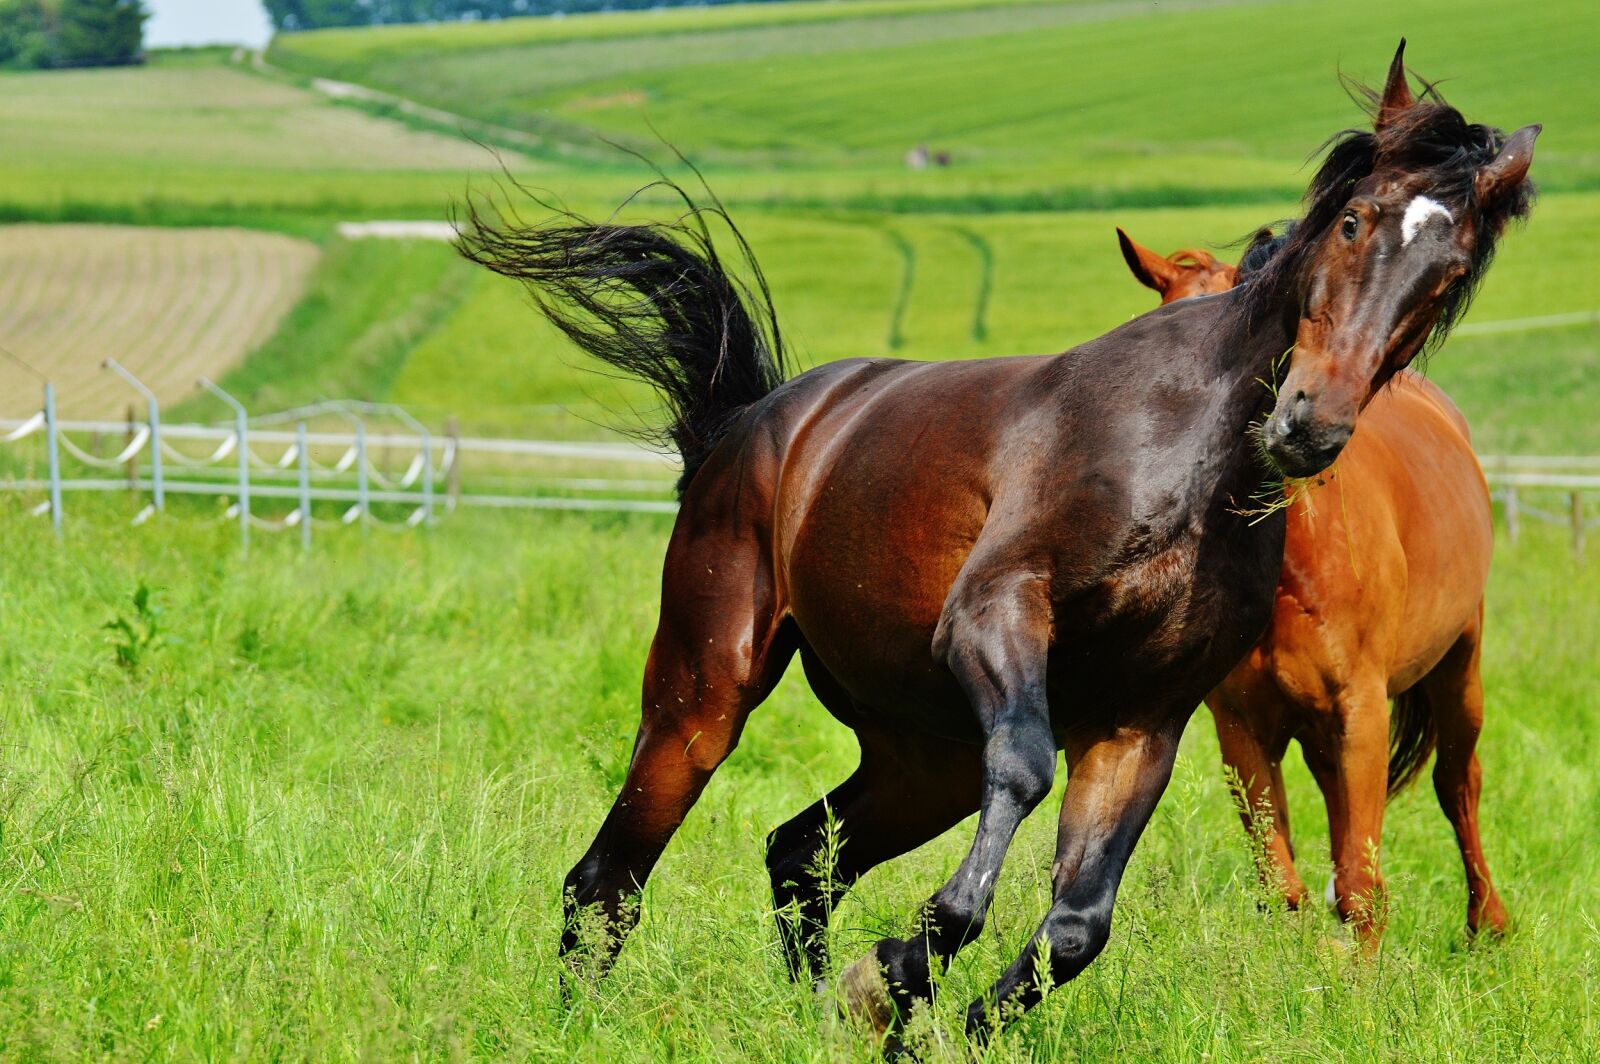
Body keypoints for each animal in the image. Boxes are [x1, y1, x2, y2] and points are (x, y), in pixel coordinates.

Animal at [1116, 225, 1506, 942]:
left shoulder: (1363, 713)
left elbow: (1361, 887)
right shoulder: (1242, 727)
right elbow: (1283, 885)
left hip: (1459, 665)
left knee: (1457, 782)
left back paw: (1487, 924)